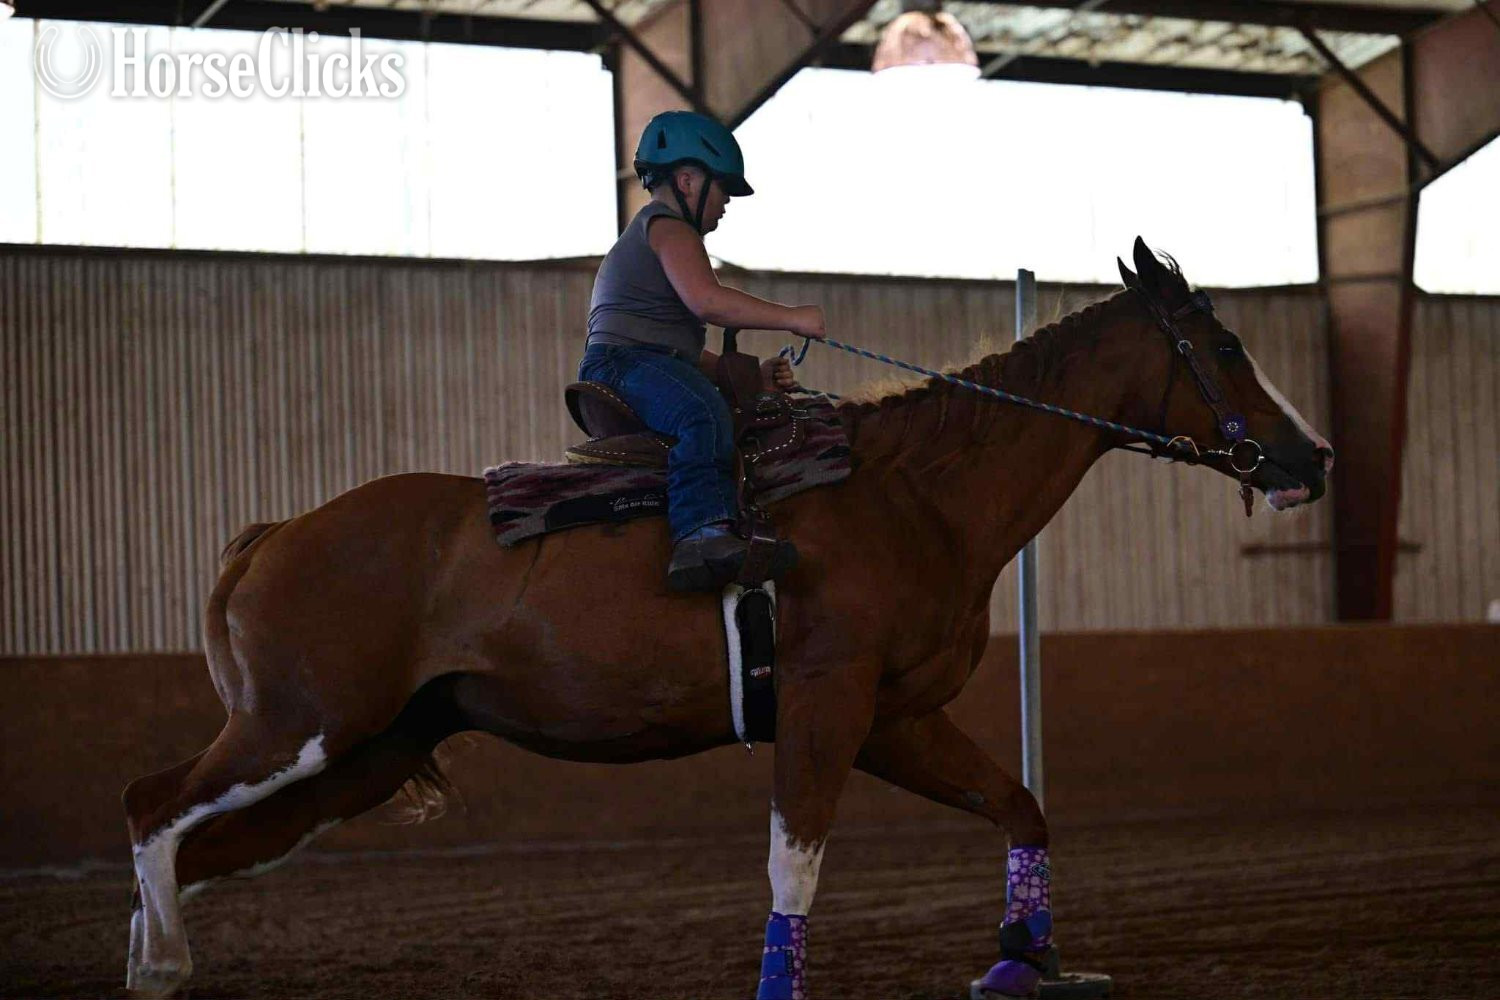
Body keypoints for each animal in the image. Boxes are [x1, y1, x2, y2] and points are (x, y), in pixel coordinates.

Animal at [121, 239, 1333, 997]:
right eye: (1227, 348)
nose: (1312, 457)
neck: (913, 493)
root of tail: (278, 531)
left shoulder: (894, 718)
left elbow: (1021, 807)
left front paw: (1021, 960)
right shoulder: (827, 702)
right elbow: (795, 867)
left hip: (361, 756)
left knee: (196, 840)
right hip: (300, 729)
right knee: (153, 809)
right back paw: (162, 963)